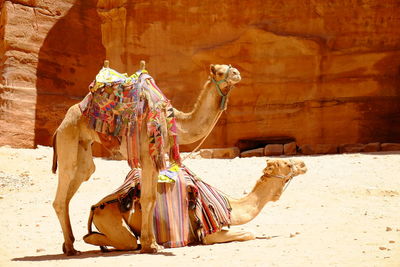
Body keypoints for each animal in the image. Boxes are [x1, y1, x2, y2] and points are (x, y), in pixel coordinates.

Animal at [52, 62, 241, 255]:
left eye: (230, 67)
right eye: (220, 72)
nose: (237, 73)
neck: (174, 123)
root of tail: (61, 123)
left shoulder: (155, 160)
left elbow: (153, 199)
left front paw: (151, 243)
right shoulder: (148, 159)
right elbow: (147, 199)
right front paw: (149, 245)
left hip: (83, 149)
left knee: (78, 180)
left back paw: (69, 245)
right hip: (68, 136)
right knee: (63, 188)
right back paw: (70, 248)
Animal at [82, 159, 306, 251]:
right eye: (287, 164)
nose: (303, 164)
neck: (229, 207)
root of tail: (96, 206)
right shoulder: (208, 232)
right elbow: (249, 233)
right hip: (110, 218)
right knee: (122, 241)